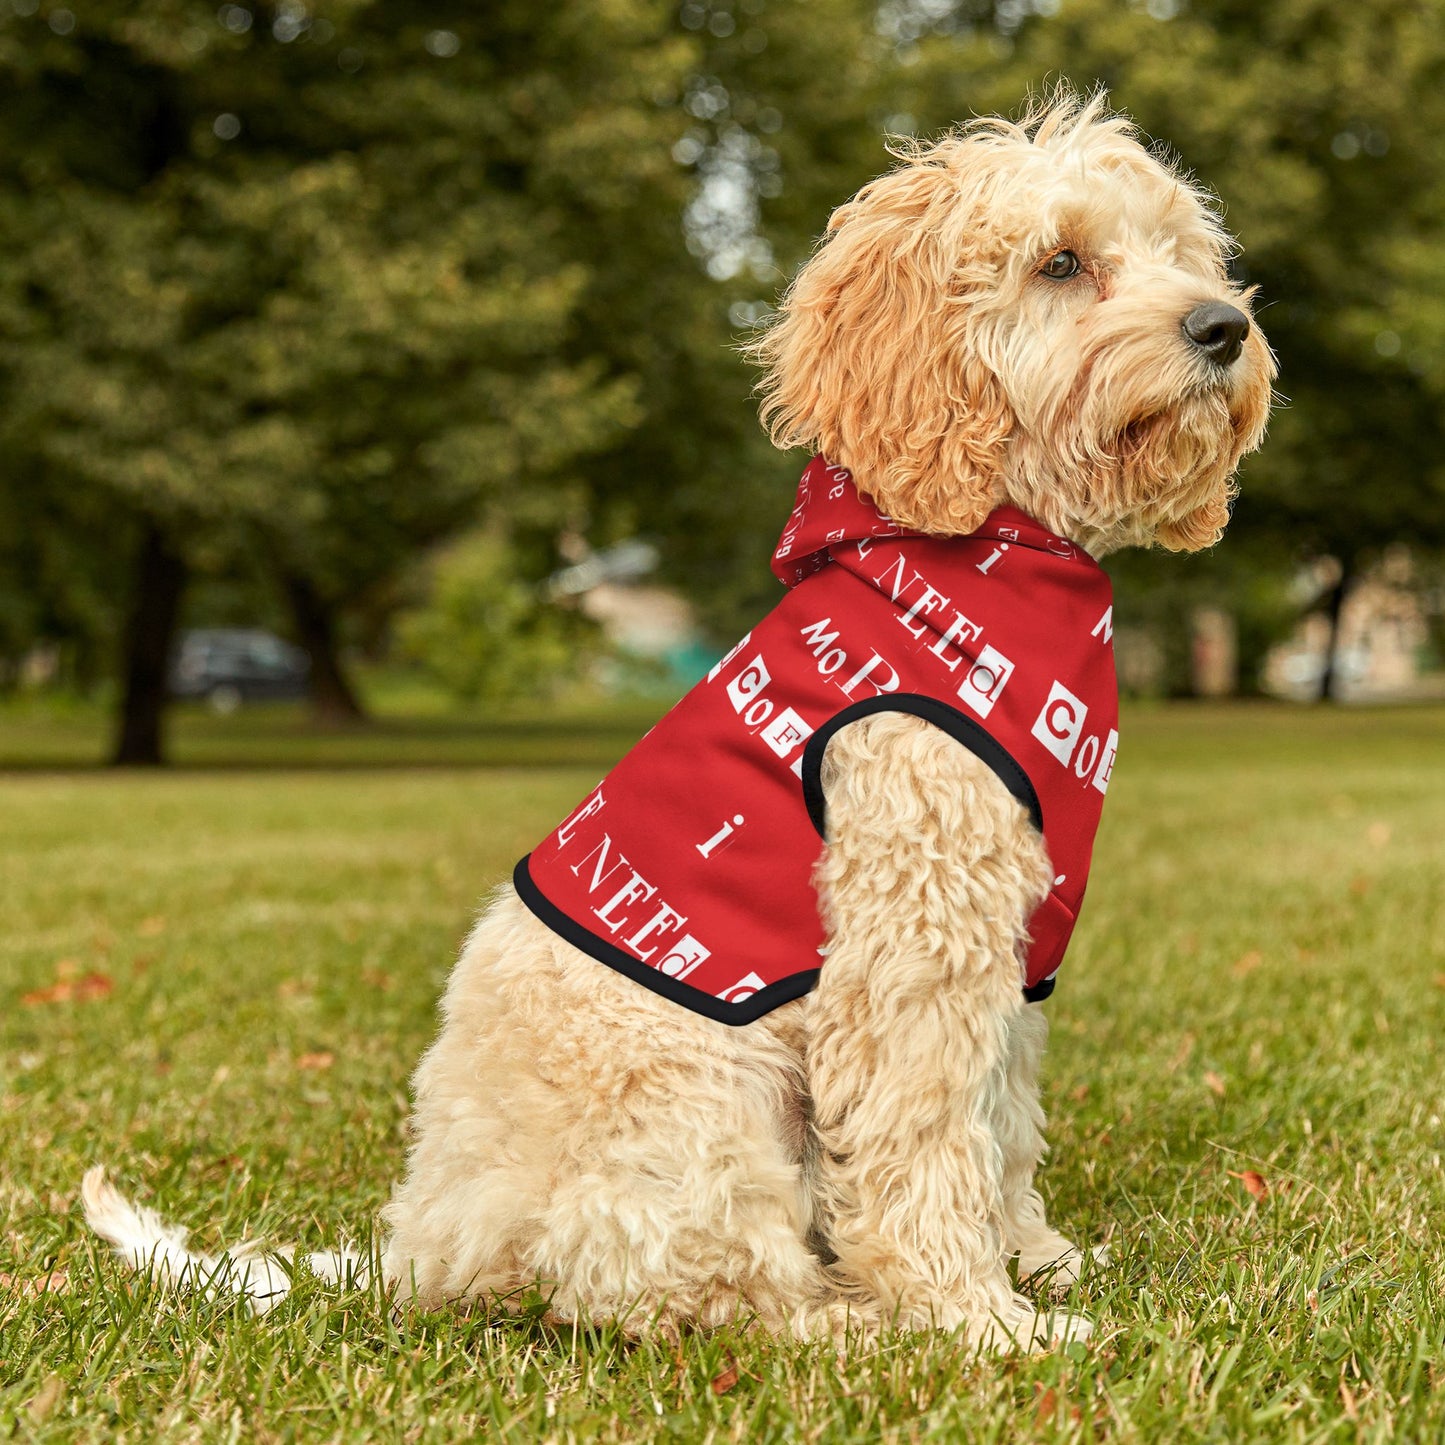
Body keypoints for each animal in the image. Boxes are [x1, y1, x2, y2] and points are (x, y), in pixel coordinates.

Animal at [84, 90, 1271, 1352]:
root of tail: (424, 1248)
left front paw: (1035, 1260)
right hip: (703, 1102)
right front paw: (977, 1319)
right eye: (1059, 262)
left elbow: (999, 1124)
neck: (983, 558)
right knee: (698, 1291)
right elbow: (924, 1141)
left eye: (1181, 252)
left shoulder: (1008, 950)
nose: (1222, 327)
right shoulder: (912, 941)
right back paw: (852, 1322)